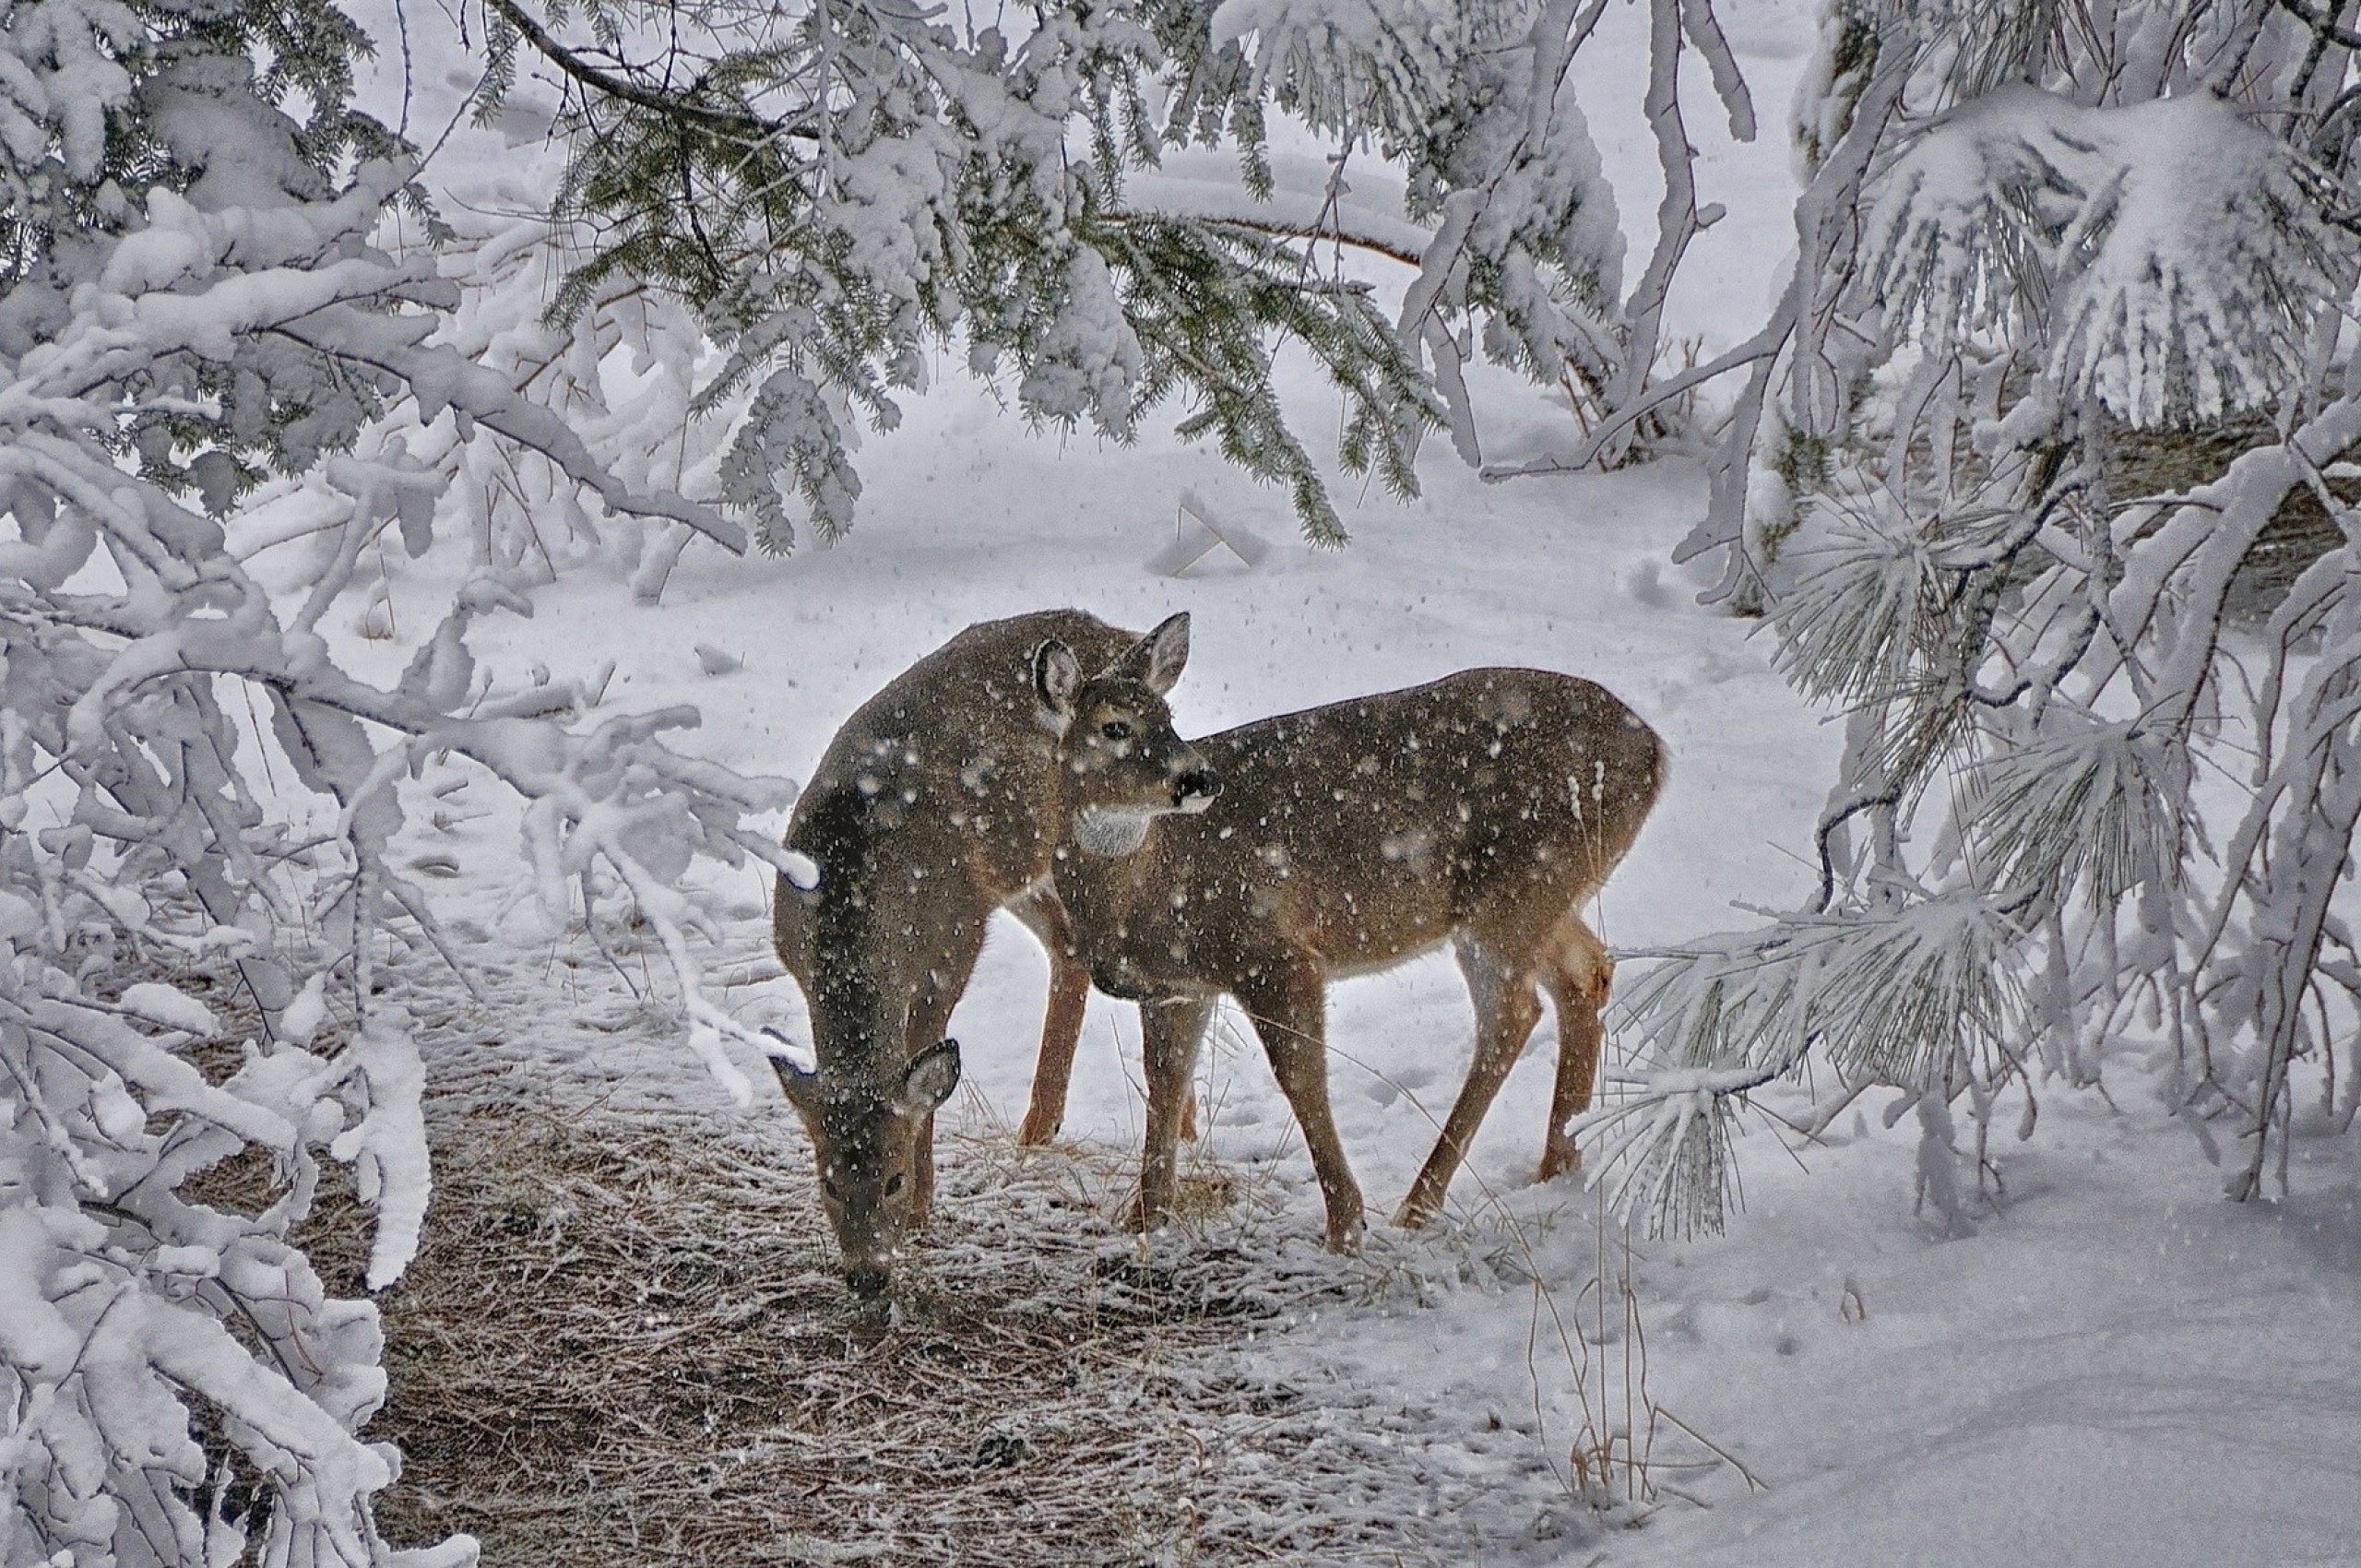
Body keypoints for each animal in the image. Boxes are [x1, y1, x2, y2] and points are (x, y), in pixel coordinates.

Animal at [774, 604, 1217, 1294]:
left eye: (892, 1179)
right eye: (828, 1184)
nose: (868, 1275)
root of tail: (1117, 635)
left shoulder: (951, 945)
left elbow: (925, 1075)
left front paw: (924, 1210)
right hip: (1020, 870)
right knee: (1069, 947)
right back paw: (1047, 1126)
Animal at [1034, 633, 1662, 1256]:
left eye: (1167, 717)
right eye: (1115, 726)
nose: (1200, 780)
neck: (1141, 885)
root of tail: (1655, 751)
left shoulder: (1273, 952)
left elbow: (1300, 1077)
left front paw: (1344, 1224)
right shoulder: (1176, 987)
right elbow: (1164, 1083)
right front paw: (1142, 1218)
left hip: (1516, 892)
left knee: (1513, 1014)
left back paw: (1419, 1204)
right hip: (1547, 895)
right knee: (1588, 973)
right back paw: (1558, 1164)